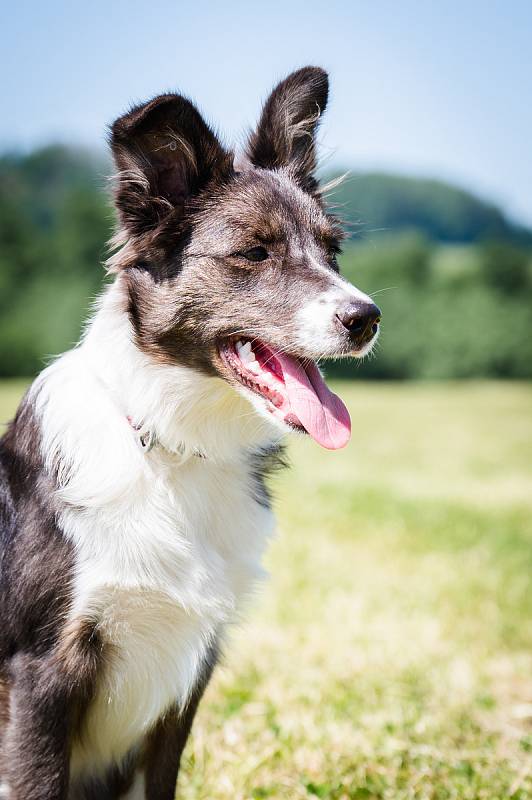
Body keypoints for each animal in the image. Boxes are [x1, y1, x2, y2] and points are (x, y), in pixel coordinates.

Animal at [1, 65, 382, 796]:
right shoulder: (41, 672)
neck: (172, 445)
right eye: (254, 252)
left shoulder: (186, 681)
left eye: (333, 251)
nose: (367, 317)